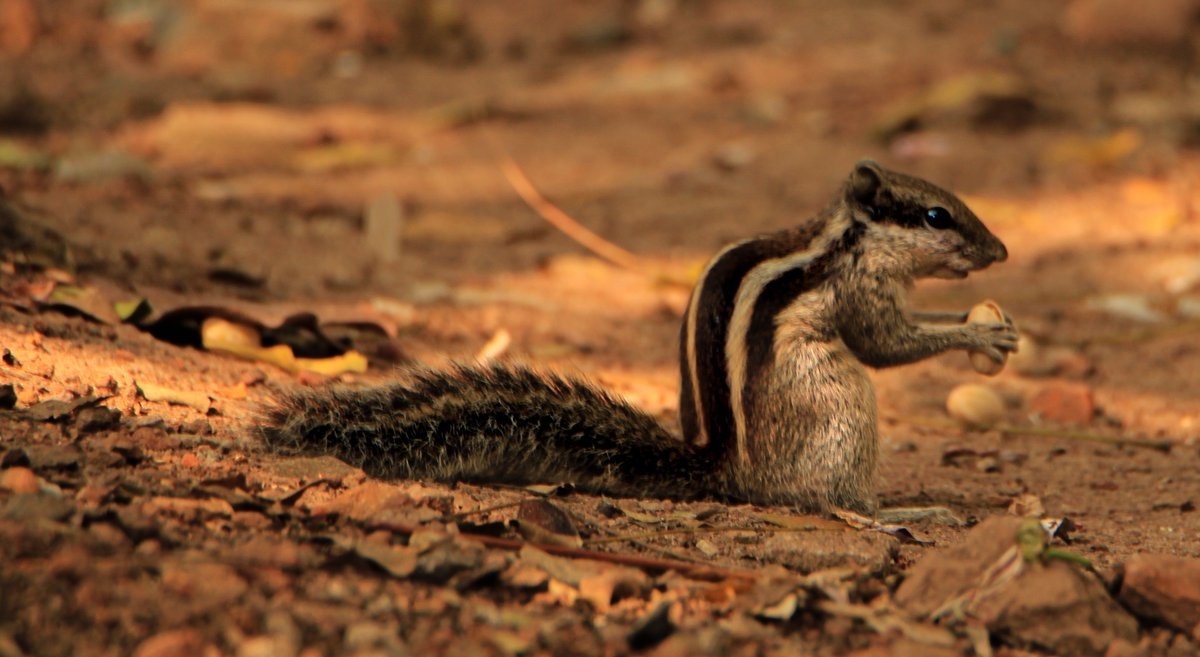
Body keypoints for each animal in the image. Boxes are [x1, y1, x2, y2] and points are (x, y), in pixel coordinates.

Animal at [258, 160, 1017, 515]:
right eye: (936, 214)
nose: (1002, 251)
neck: (846, 241)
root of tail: (729, 471)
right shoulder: (863, 293)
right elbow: (886, 345)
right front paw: (981, 334)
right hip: (844, 405)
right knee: (829, 498)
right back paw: (901, 509)